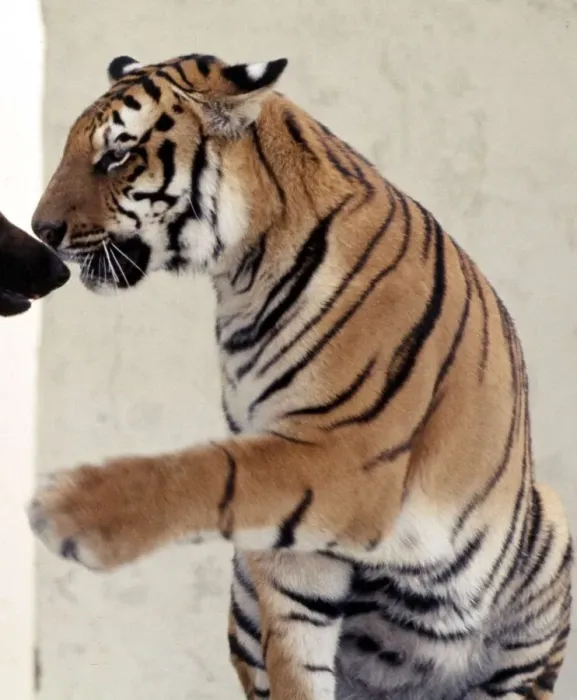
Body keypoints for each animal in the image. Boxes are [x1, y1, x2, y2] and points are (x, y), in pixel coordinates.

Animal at [27, 52, 572, 700]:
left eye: (117, 155)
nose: (40, 230)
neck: (240, 275)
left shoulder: (350, 455)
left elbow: (210, 471)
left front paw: (67, 508)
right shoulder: (289, 545)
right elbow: (296, 648)